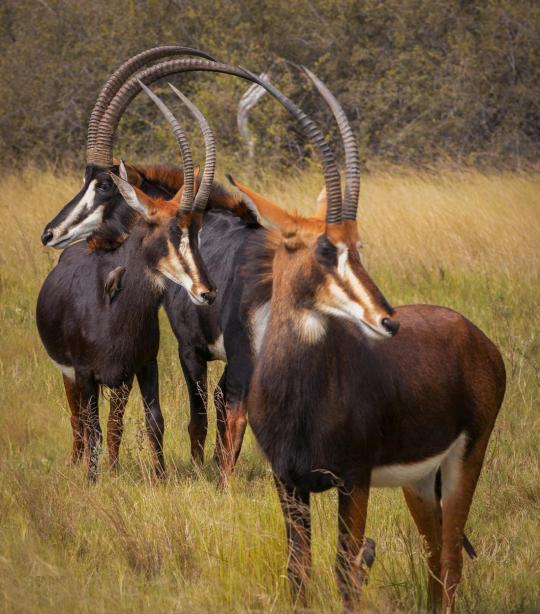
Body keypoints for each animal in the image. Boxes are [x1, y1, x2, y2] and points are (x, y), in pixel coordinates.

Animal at [35, 86, 218, 482]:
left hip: (119, 380)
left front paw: (160, 479)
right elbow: (92, 428)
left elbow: (154, 421)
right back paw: (78, 463)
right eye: (162, 230)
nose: (206, 292)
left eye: (196, 231)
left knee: (115, 421)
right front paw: (91, 481)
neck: (112, 307)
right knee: (79, 421)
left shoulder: (144, 366)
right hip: (72, 376)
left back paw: (115, 466)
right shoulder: (85, 374)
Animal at [221, 71, 504, 612]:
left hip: (465, 461)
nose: (387, 321)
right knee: (434, 558)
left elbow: (344, 574)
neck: (300, 394)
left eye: (358, 245)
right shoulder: (288, 483)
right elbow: (299, 573)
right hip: (420, 482)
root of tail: (479, 340)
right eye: (325, 247)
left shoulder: (353, 481)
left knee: (450, 562)